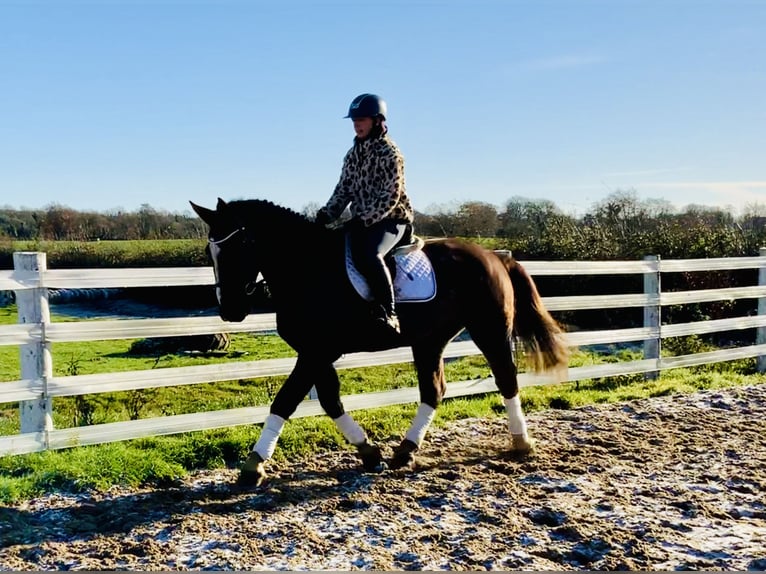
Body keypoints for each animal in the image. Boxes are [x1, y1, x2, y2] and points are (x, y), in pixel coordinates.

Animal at [189, 198, 568, 486]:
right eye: (210, 250)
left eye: (240, 245)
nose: (231, 310)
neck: (307, 269)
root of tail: (495, 256)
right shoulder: (316, 352)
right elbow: (329, 401)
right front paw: (369, 453)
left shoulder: (316, 352)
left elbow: (285, 401)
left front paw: (253, 466)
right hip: (430, 340)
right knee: (434, 390)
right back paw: (406, 450)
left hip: (489, 331)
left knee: (506, 379)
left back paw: (521, 442)